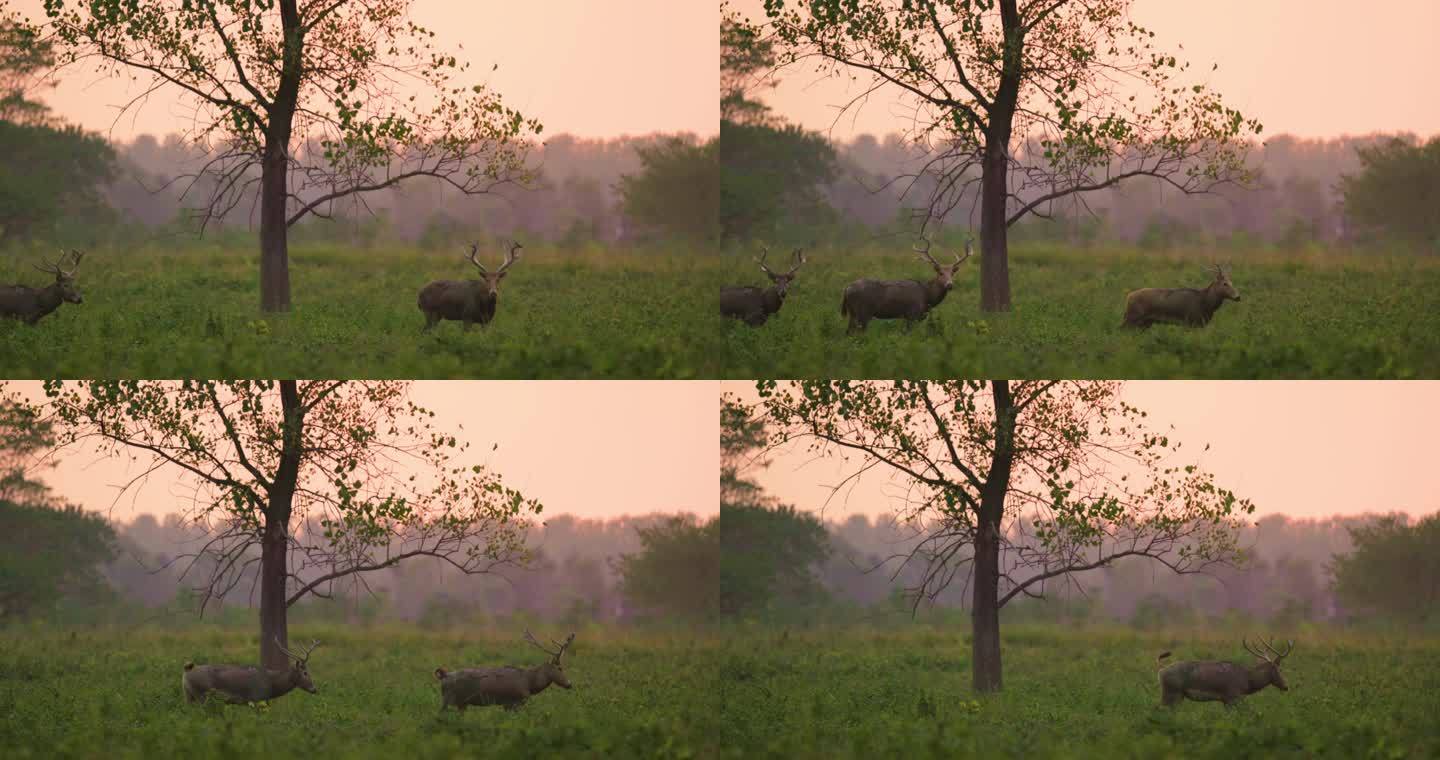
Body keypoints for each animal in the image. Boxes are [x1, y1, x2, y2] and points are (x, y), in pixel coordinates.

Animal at [181, 639, 322, 702]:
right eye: (305, 673)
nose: (314, 689)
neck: (272, 683)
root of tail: (186, 672)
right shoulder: (257, 697)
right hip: (202, 694)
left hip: (189, 695)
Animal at [434, 630, 576, 713]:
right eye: (560, 668)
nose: (569, 684)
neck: (530, 684)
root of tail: (444, 675)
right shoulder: (514, 701)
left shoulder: (507, 704)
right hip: (448, 699)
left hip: (461, 703)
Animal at [840, 237, 973, 332]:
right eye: (940, 273)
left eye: (952, 273)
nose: (949, 285)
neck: (927, 296)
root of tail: (846, 289)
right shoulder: (912, 314)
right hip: (863, 312)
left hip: (853, 313)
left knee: (848, 332)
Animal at [1157, 636, 1296, 705]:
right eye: (1280, 669)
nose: (1286, 687)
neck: (1248, 681)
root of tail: (1161, 671)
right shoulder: (1233, 696)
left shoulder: (1226, 699)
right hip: (1172, 692)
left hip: (1178, 695)